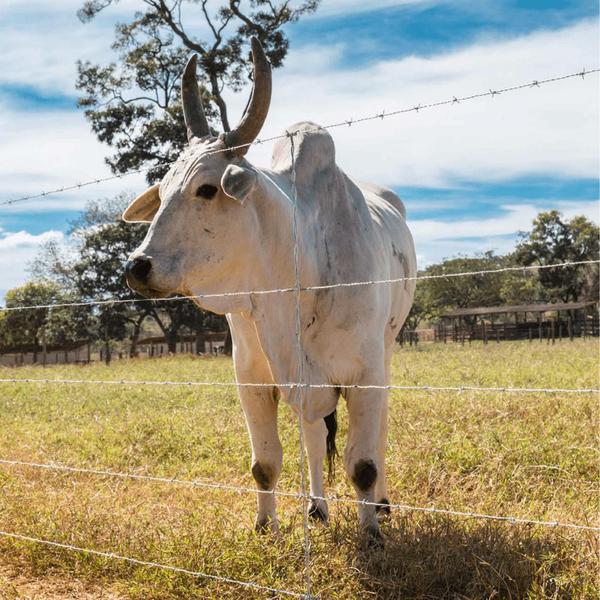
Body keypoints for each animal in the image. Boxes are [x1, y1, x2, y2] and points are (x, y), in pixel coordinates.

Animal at [124, 39, 414, 540]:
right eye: (160, 195)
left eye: (207, 189)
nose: (136, 266)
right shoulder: (253, 377)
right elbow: (266, 462)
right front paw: (265, 527)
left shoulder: (365, 375)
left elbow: (362, 464)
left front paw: (371, 532)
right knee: (314, 435)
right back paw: (317, 507)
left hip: (388, 349)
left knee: (377, 435)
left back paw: (381, 504)